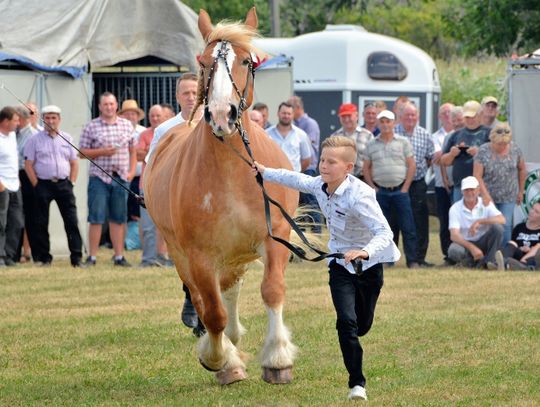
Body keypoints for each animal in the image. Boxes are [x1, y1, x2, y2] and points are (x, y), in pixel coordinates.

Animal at [144, 7, 300, 386]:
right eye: (203, 62)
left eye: (247, 61)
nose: (220, 114)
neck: (232, 170)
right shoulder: (199, 256)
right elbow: (212, 313)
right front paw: (221, 361)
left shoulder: (275, 238)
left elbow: (272, 290)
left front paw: (278, 360)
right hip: (184, 255)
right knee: (205, 301)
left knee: (231, 288)